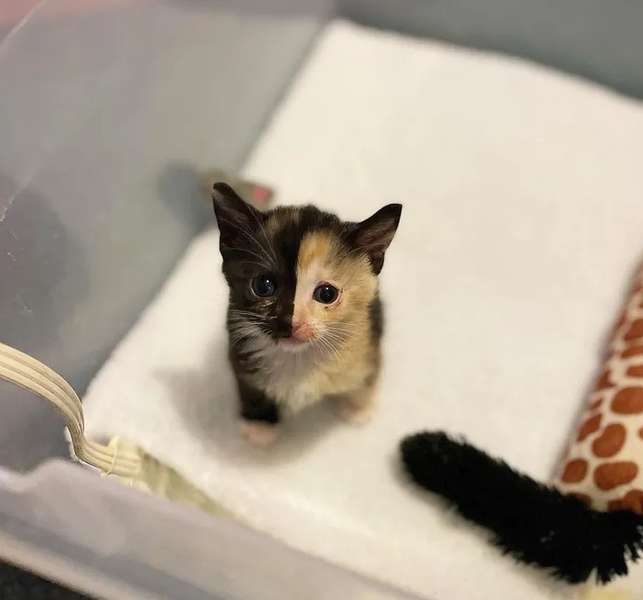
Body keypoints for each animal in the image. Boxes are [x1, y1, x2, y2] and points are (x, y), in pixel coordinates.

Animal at [213, 183, 402, 446]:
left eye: (327, 293)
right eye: (263, 285)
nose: (290, 322)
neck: (299, 358)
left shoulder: (368, 340)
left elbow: (369, 373)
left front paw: (359, 409)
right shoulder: (238, 347)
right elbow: (249, 386)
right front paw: (260, 425)